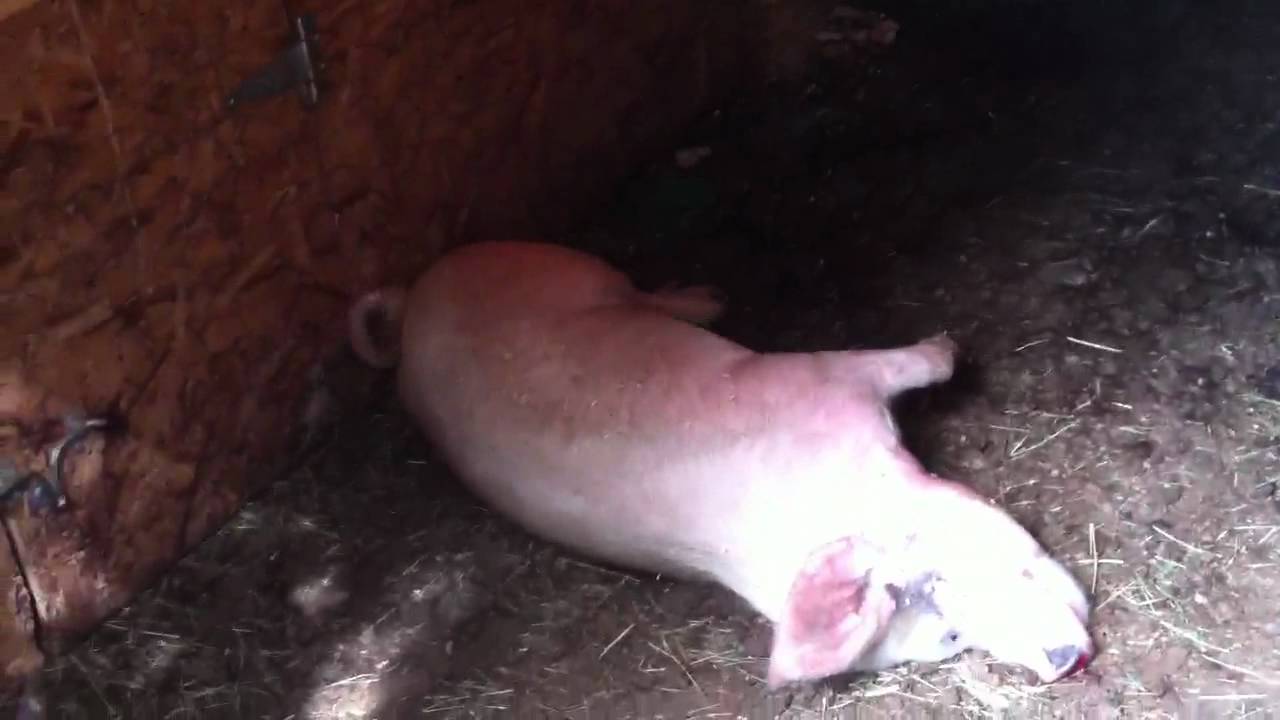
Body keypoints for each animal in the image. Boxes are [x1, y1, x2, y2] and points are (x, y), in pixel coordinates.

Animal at [348, 240, 1093, 688]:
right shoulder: (823, 381)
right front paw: (949, 345)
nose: (1066, 662)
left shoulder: (823, 376)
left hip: (553, 261)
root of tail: (414, 306)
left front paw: (949, 345)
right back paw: (709, 296)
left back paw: (710, 296)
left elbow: (909, 363)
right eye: (950, 634)